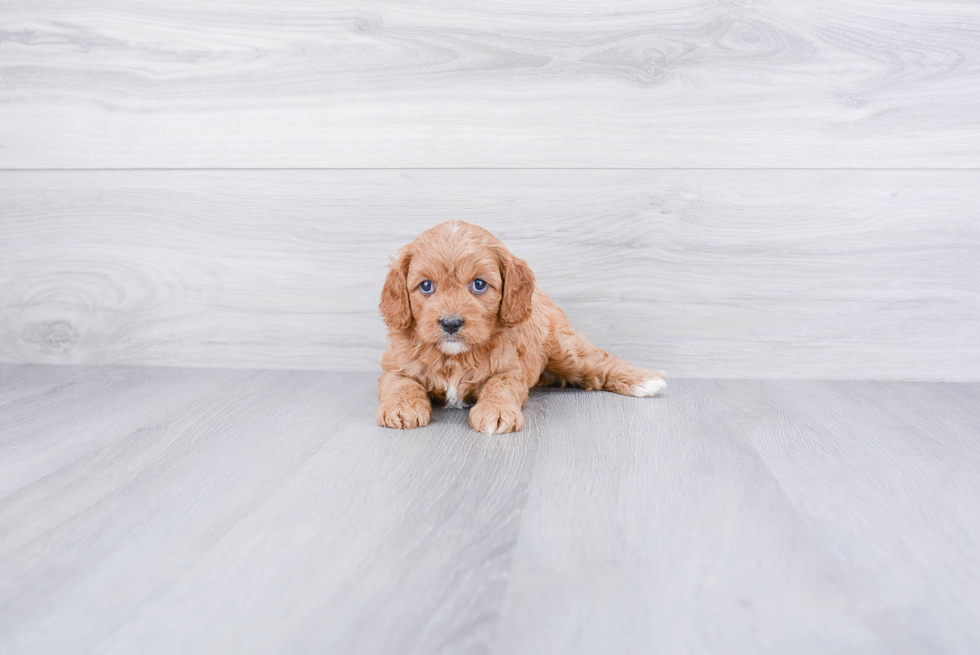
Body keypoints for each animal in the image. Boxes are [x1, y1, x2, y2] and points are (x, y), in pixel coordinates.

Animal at [376, 222, 668, 436]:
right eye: (426, 286)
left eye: (479, 284)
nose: (450, 323)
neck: (455, 356)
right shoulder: (396, 365)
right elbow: (401, 383)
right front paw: (401, 408)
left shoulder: (509, 369)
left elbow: (499, 385)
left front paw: (496, 412)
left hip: (564, 351)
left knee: (599, 363)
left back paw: (644, 380)